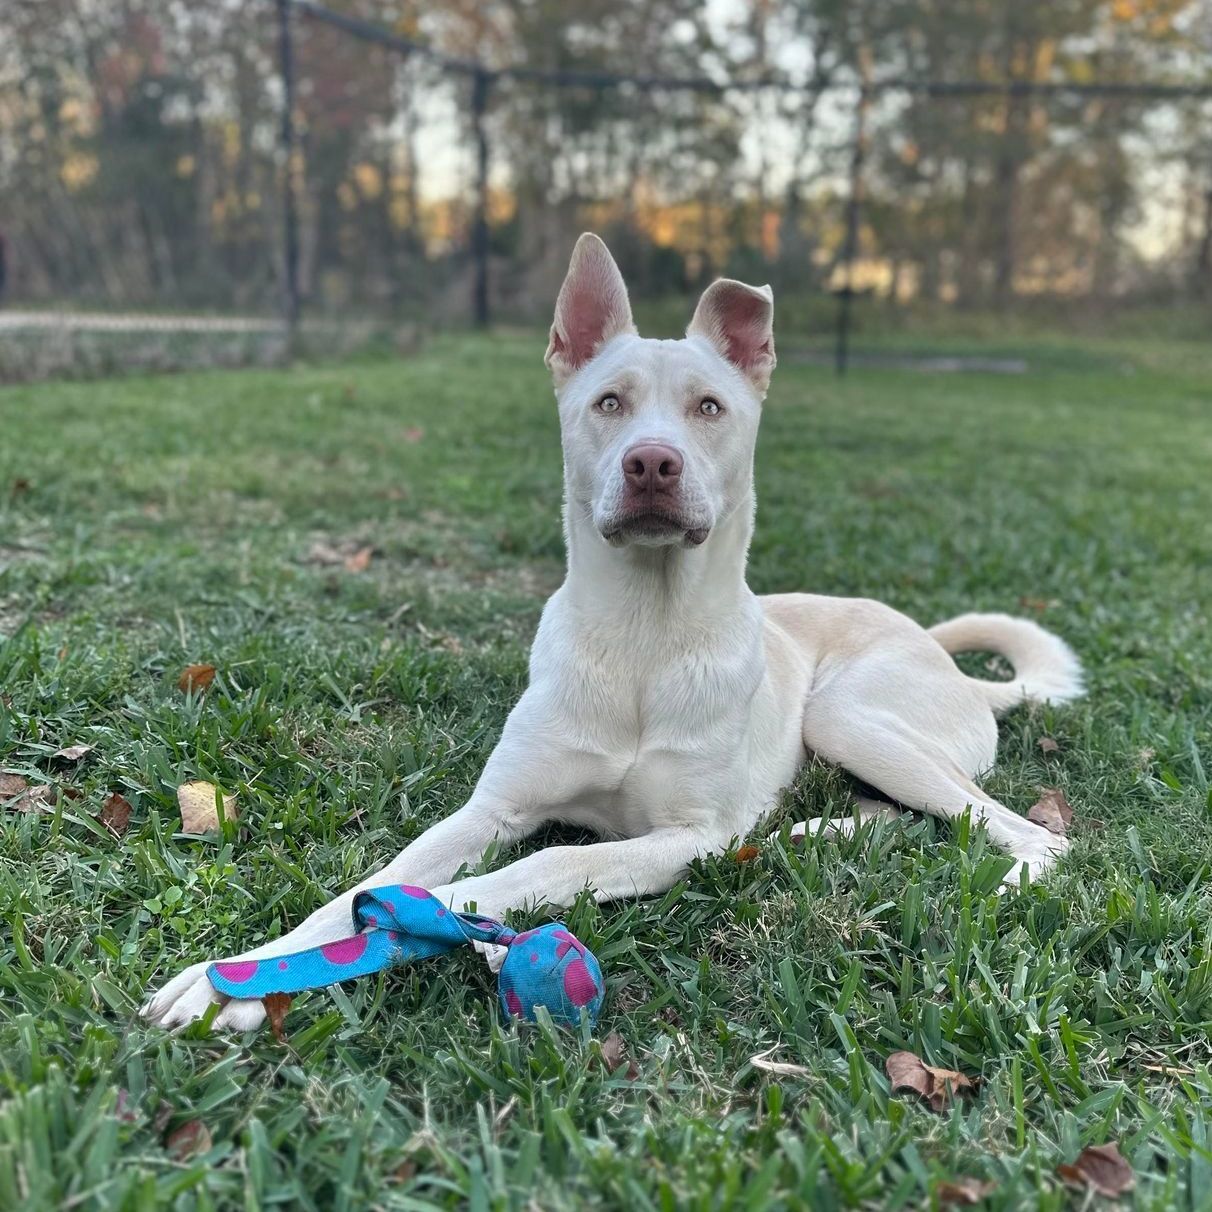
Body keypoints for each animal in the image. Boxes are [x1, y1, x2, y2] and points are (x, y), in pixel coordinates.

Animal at [143, 233, 1082, 1030]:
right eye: (608, 401)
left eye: (709, 407)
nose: (652, 463)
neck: (643, 634)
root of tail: (954, 668)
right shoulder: (493, 806)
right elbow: (366, 889)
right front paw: (234, 978)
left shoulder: (679, 836)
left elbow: (538, 867)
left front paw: (438, 920)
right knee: (899, 816)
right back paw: (803, 835)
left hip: (846, 714)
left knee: (1028, 833)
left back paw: (996, 878)